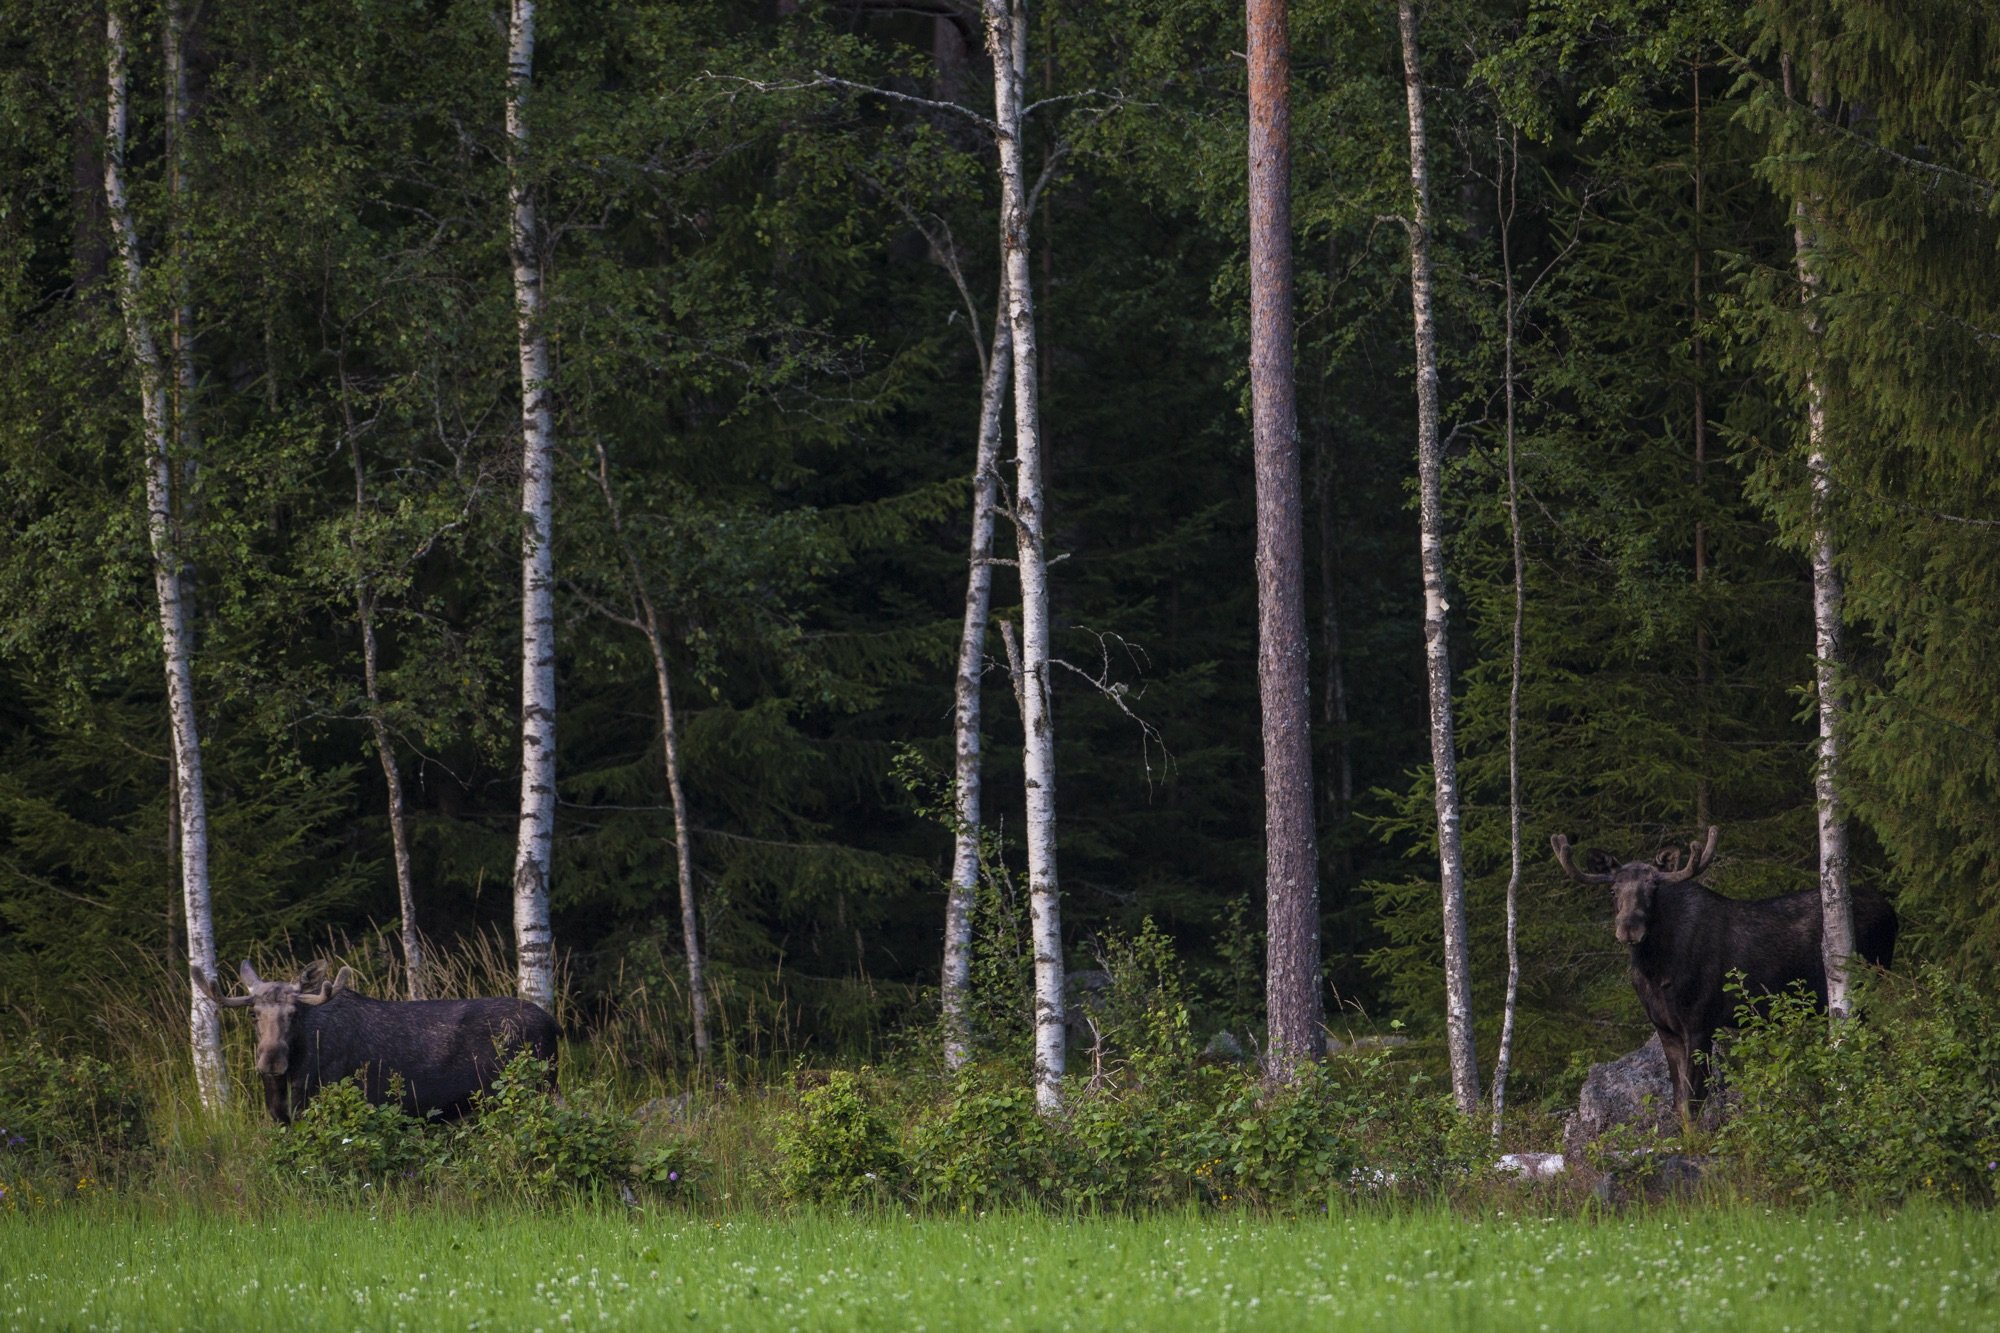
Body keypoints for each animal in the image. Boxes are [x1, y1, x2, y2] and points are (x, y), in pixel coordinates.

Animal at [1550, 825, 1897, 1122]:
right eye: (1612, 890)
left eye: (1654, 889)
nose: (1629, 928)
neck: (1654, 973)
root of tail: (1892, 911)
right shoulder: (1665, 1028)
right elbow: (1677, 1101)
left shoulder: (1701, 1023)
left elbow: (1693, 1103)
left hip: (1869, 986)